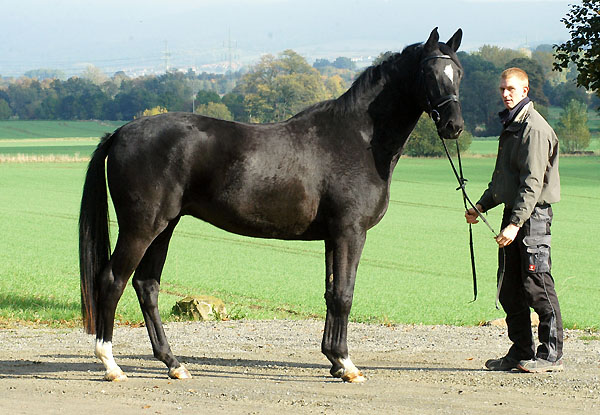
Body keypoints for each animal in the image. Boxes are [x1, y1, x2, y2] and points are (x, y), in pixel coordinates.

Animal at [78, 28, 464, 384]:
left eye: (458, 72)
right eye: (429, 73)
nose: (454, 126)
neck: (358, 139)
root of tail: (120, 133)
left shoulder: (331, 236)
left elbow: (330, 293)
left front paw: (334, 361)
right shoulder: (349, 232)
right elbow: (344, 295)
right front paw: (347, 364)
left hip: (164, 227)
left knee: (147, 286)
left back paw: (174, 363)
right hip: (142, 227)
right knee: (112, 281)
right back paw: (111, 365)